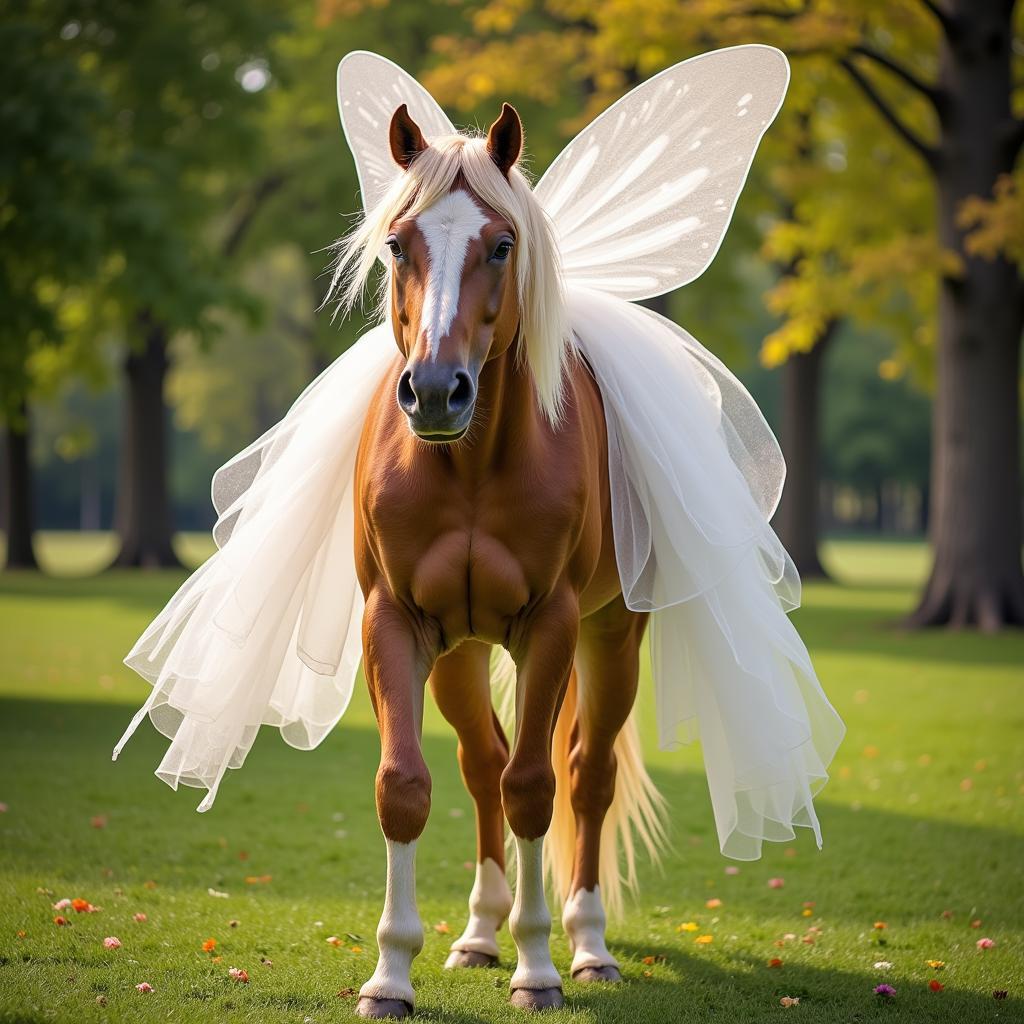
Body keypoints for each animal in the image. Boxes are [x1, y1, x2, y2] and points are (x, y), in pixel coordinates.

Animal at [339, 99, 667, 1011]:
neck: (471, 464)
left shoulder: (551, 625)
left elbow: (535, 788)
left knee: (586, 777)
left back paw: (587, 946)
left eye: (501, 244)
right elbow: (405, 786)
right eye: (396, 243)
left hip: (612, 636)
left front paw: (539, 968)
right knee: (481, 763)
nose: (436, 391)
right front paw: (390, 975)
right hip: (459, 651)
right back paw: (480, 934)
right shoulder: (396, 622)